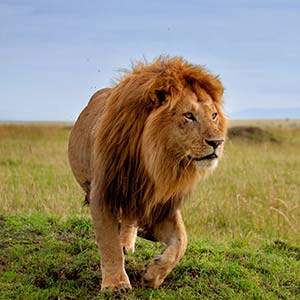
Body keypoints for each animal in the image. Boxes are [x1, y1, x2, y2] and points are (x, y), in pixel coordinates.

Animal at [68, 55, 227, 290]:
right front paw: (116, 284)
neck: (154, 162)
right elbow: (108, 242)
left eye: (214, 115)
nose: (217, 142)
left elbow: (181, 240)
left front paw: (153, 274)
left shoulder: (161, 203)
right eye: (189, 115)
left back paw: (128, 241)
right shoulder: (104, 192)